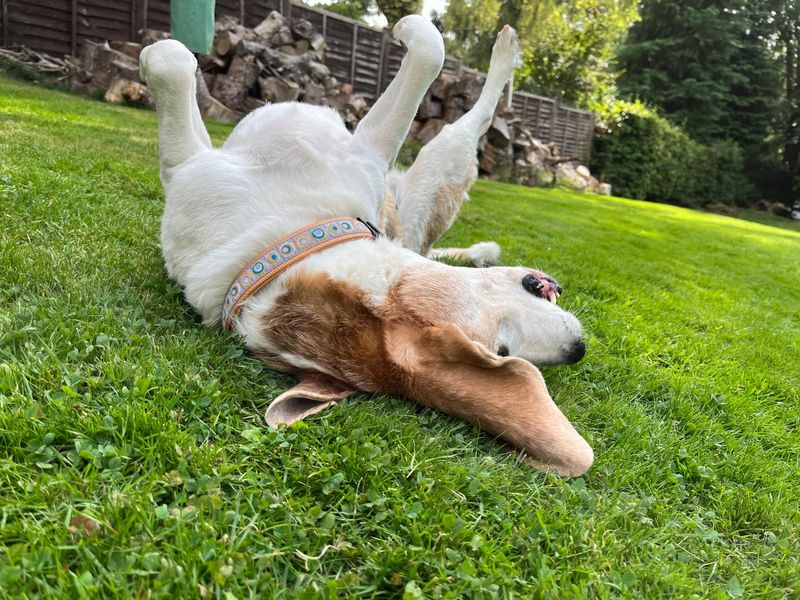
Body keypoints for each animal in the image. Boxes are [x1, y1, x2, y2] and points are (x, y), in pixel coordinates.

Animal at [139, 18, 592, 476]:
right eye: (501, 348)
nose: (577, 350)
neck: (281, 242)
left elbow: (429, 50)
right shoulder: (192, 167)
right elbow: (168, 58)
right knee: (468, 131)